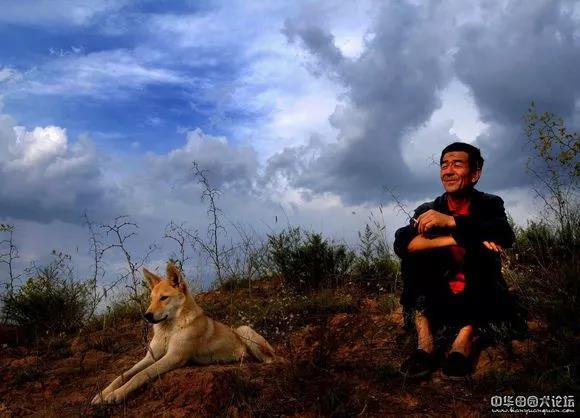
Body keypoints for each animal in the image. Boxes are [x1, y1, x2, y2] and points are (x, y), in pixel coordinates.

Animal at [91, 262, 276, 404]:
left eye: (164, 298)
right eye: (151, 299)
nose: (146, 316)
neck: (170, 329)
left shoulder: (174, 356)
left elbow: (141, 375)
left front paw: (116, 394)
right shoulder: (150, 357)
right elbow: (124, 374)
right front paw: (103, 393)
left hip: (243, 329)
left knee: (270, 358)